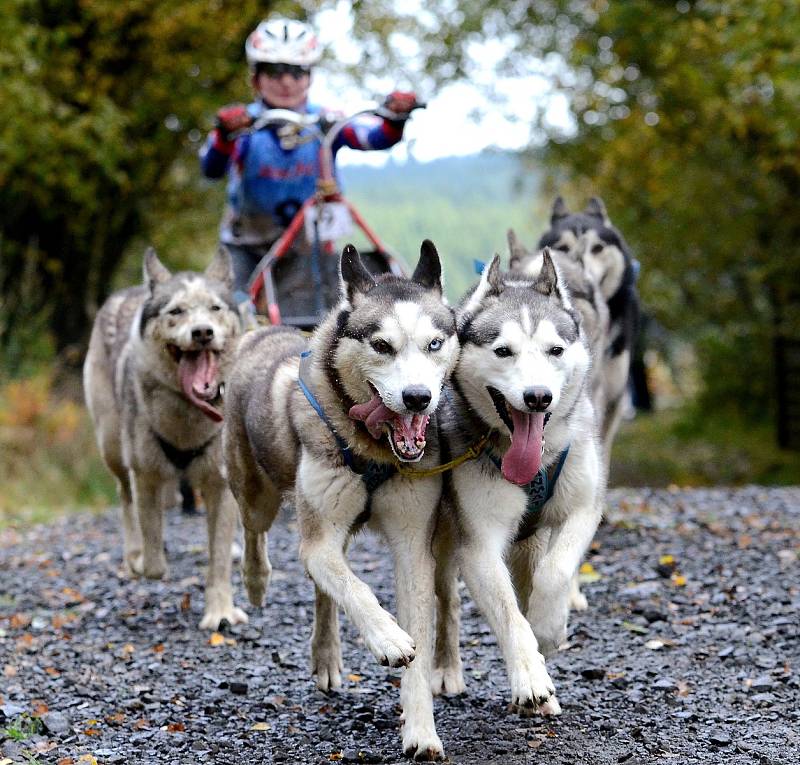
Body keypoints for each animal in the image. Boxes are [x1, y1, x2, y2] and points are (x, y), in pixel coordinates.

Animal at [84, 248, 247, 628]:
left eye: (215, 308)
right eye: (176, 311)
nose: (202, 332)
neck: (189, 418)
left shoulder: (220, 485)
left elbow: (218, 560)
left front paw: (220, 611)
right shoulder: (145, 475)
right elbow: (154, 557)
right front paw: (143, 560)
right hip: (114, 449)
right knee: (127, 499)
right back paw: (132, 555)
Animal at [225, 242, 460, 756]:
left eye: (434, 344)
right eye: (381, 345)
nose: (417, 397)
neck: (373, 451)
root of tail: (262, 330)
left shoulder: (413, 546)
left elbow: (413, 629)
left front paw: (420, 730)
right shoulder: (319, 539)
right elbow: (358, 589)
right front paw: (388, 638)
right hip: (257, 495)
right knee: (255, 531)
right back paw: (256, 580)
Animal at [432, 252, 600, 712]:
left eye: (555, 350)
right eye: (502, 351)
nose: (537, 397)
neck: (534, 463)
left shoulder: (583, 508)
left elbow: (555, 573)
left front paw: (548, 629)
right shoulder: (479, 544)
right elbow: (510, 616)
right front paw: (530, 675)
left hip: (530, 543)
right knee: (446, 603)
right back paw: (446, 669)